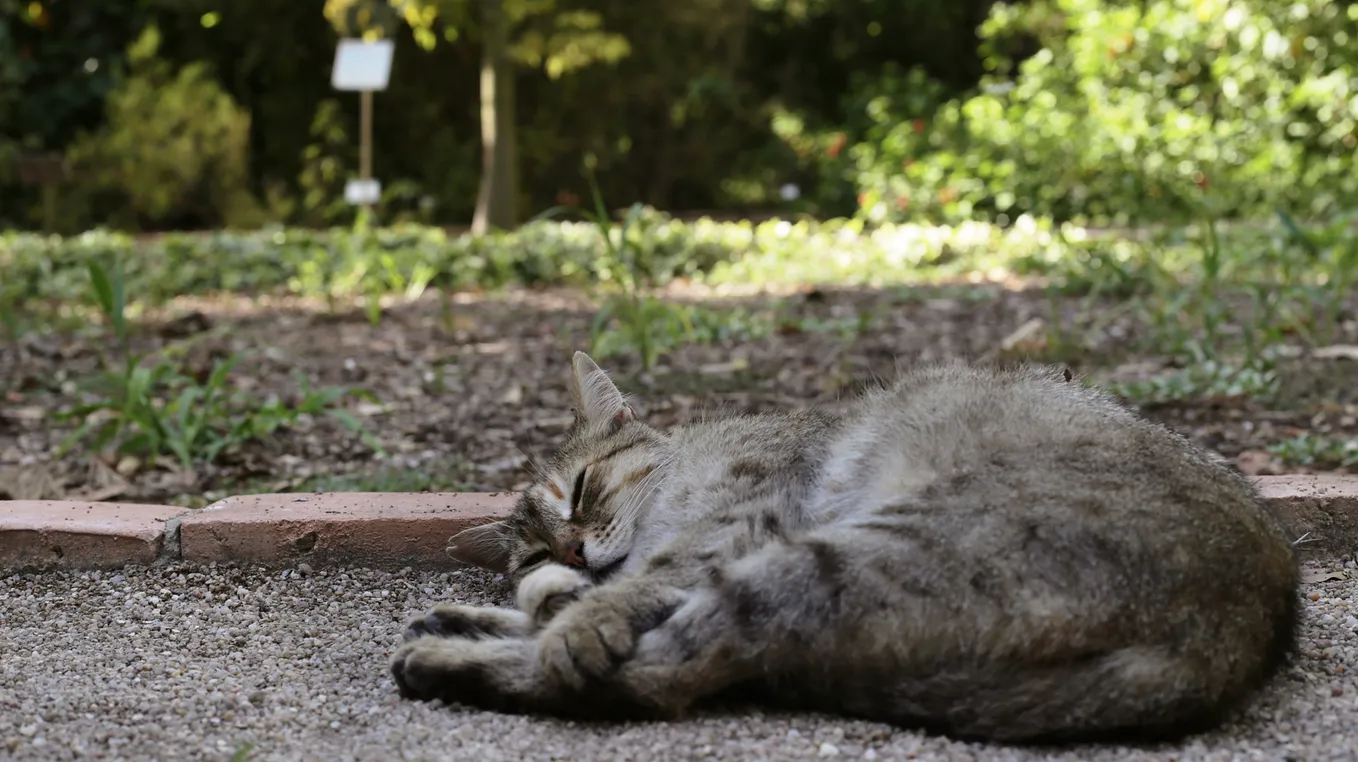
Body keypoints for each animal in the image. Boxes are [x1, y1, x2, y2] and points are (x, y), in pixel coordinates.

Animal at [388, 350, 1298, 744]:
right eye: (531, 549)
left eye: (579, 492)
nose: (571, 554)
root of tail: (1239, 630)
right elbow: (568, 600)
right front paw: (513, 602)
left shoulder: (745, 518)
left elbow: (629, 591)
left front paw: (572, 614)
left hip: (833, 558)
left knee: (658, 675)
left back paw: (455, 661)